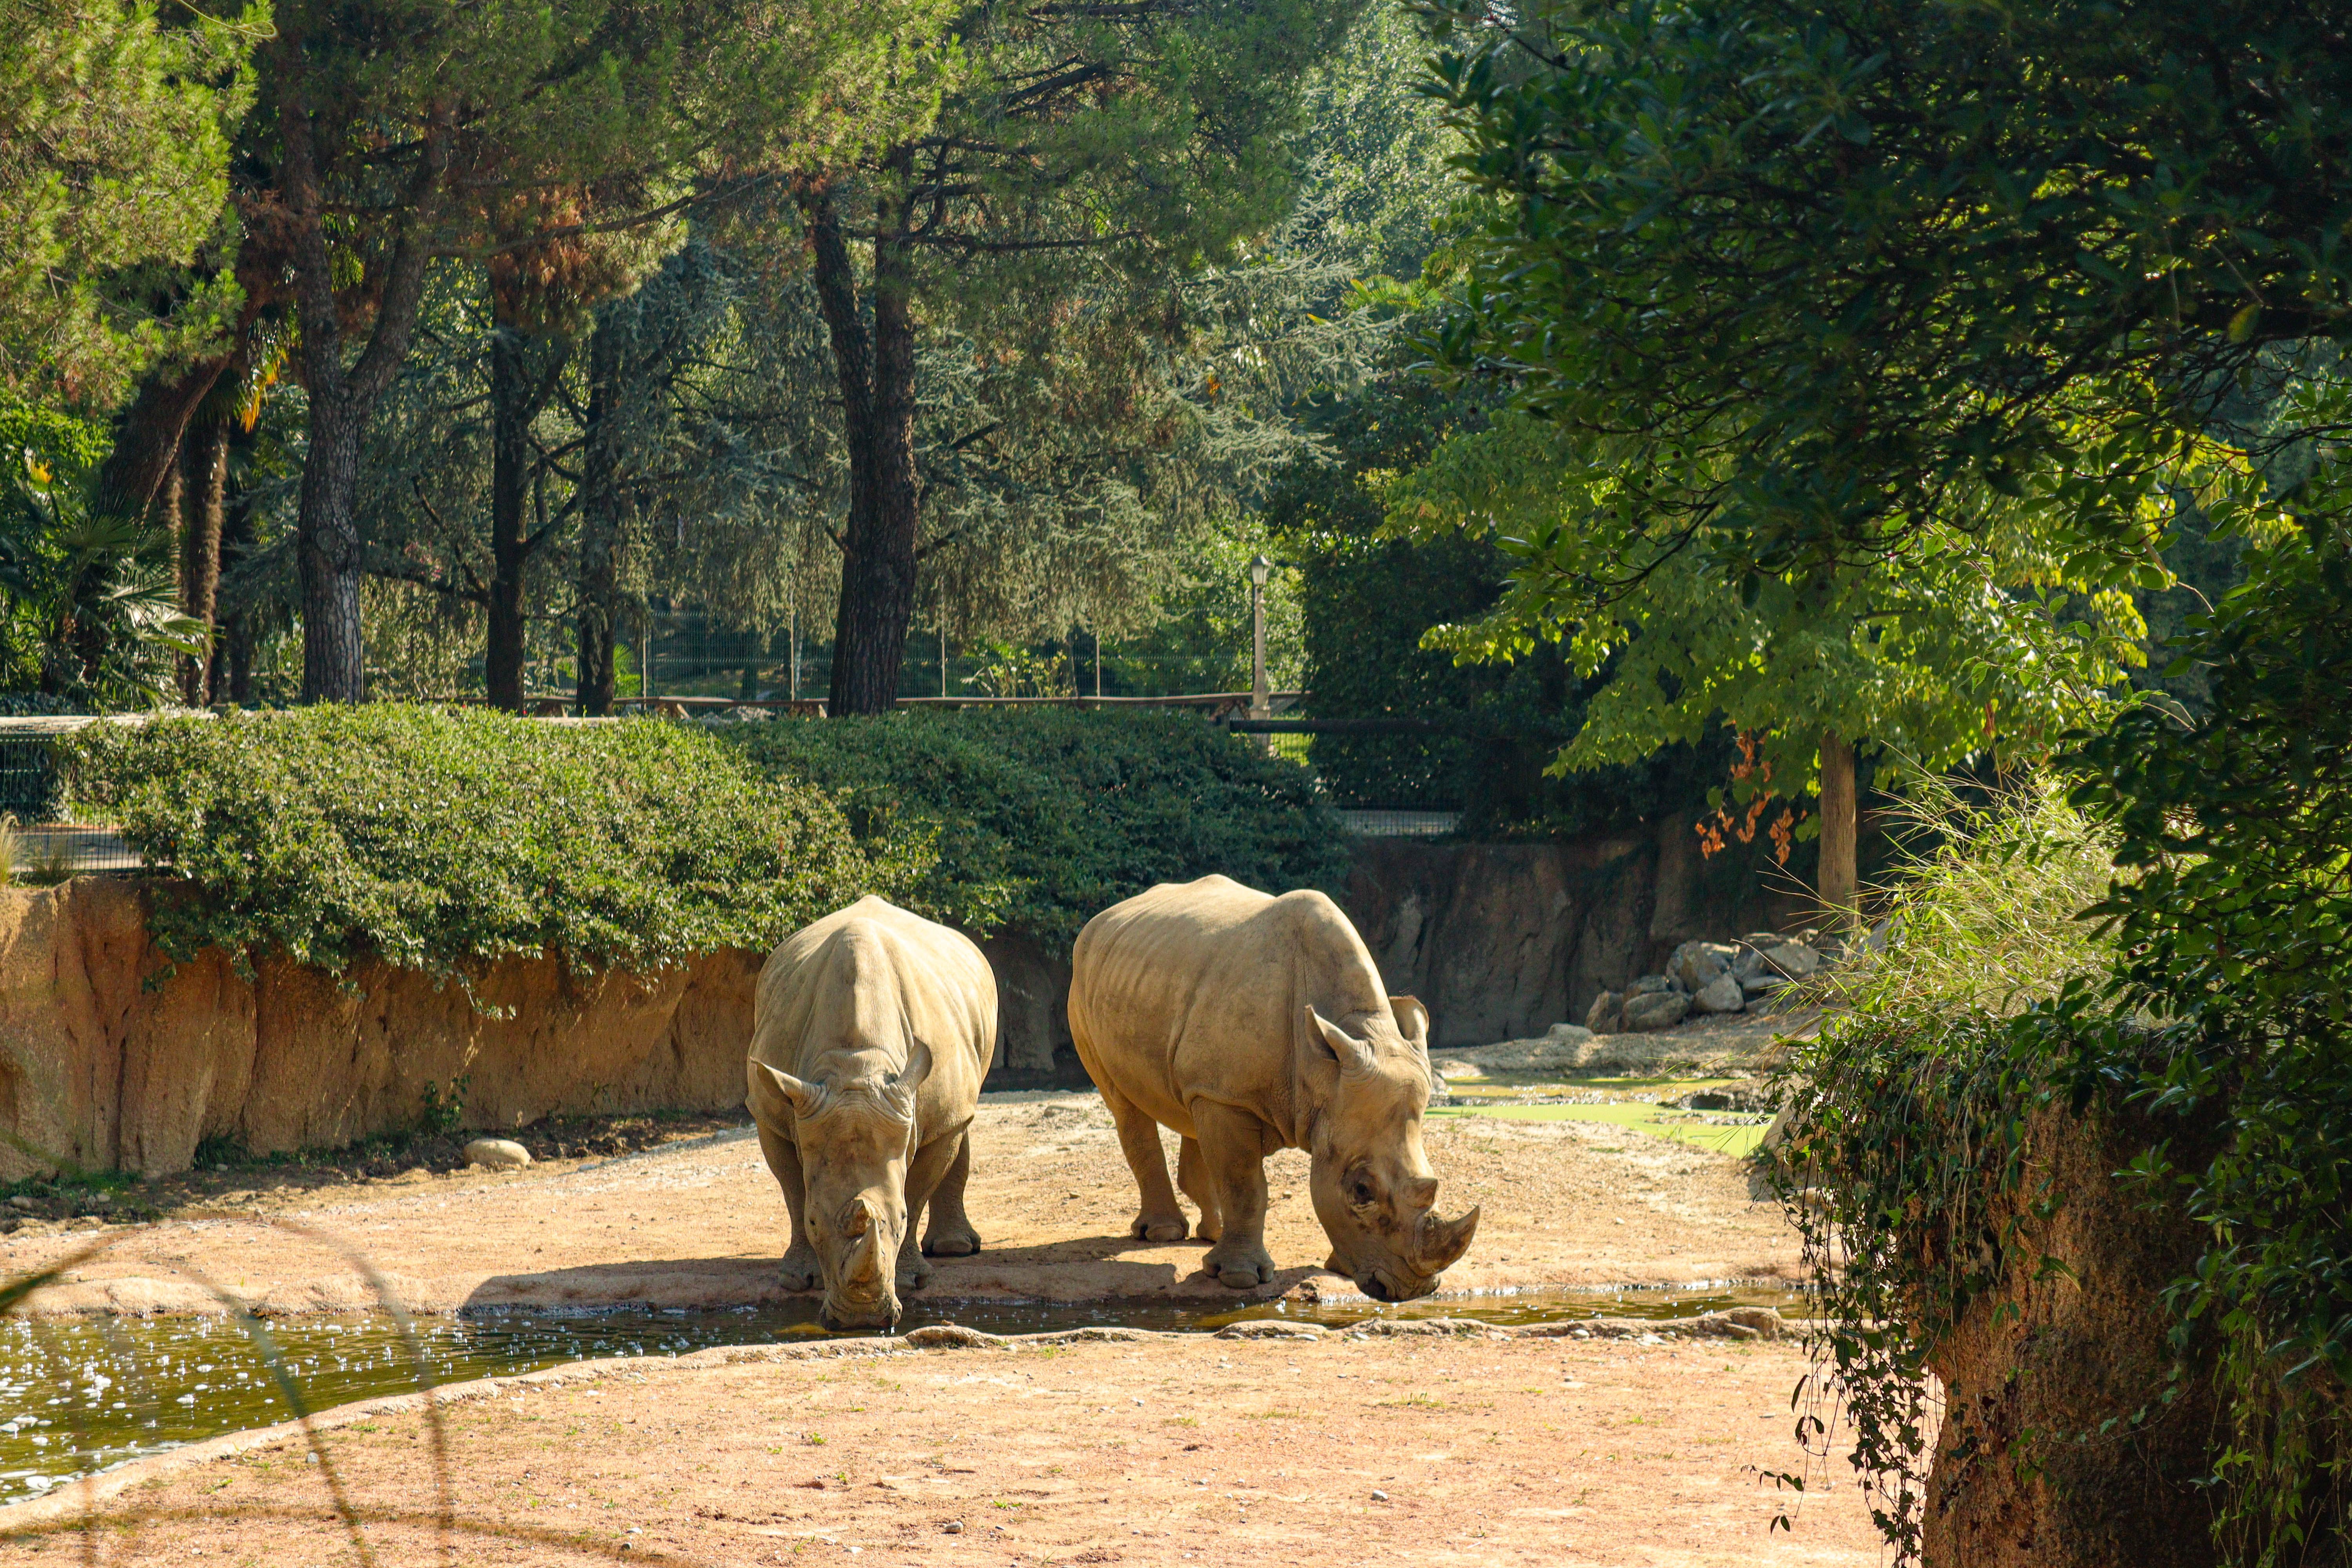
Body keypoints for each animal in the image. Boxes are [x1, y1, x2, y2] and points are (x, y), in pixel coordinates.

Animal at [745, 896, 994, 1330]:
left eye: (901, 1220)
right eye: (814, 1223)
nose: (860, 1319)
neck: (856, 1066)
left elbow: (918, 1187)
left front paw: (912, 1280)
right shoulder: (773, 1112)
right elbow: (793, 1190)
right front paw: (797, 1280)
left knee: (958, 1122)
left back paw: (955, 1249)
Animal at [1068, 875, 1479, 1301]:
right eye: (1362, 1190)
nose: (1412, 1290)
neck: (1323, 1073)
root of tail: (1101, 919)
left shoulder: (1270, 1094)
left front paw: (1339, 1268)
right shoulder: (1233, 1099)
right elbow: (1246, 1185)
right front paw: (1240, 1278)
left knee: (1191, 1105)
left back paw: (1212, 1233)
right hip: (1084, 984)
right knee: (1126, 1107)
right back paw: (1164, 1234)